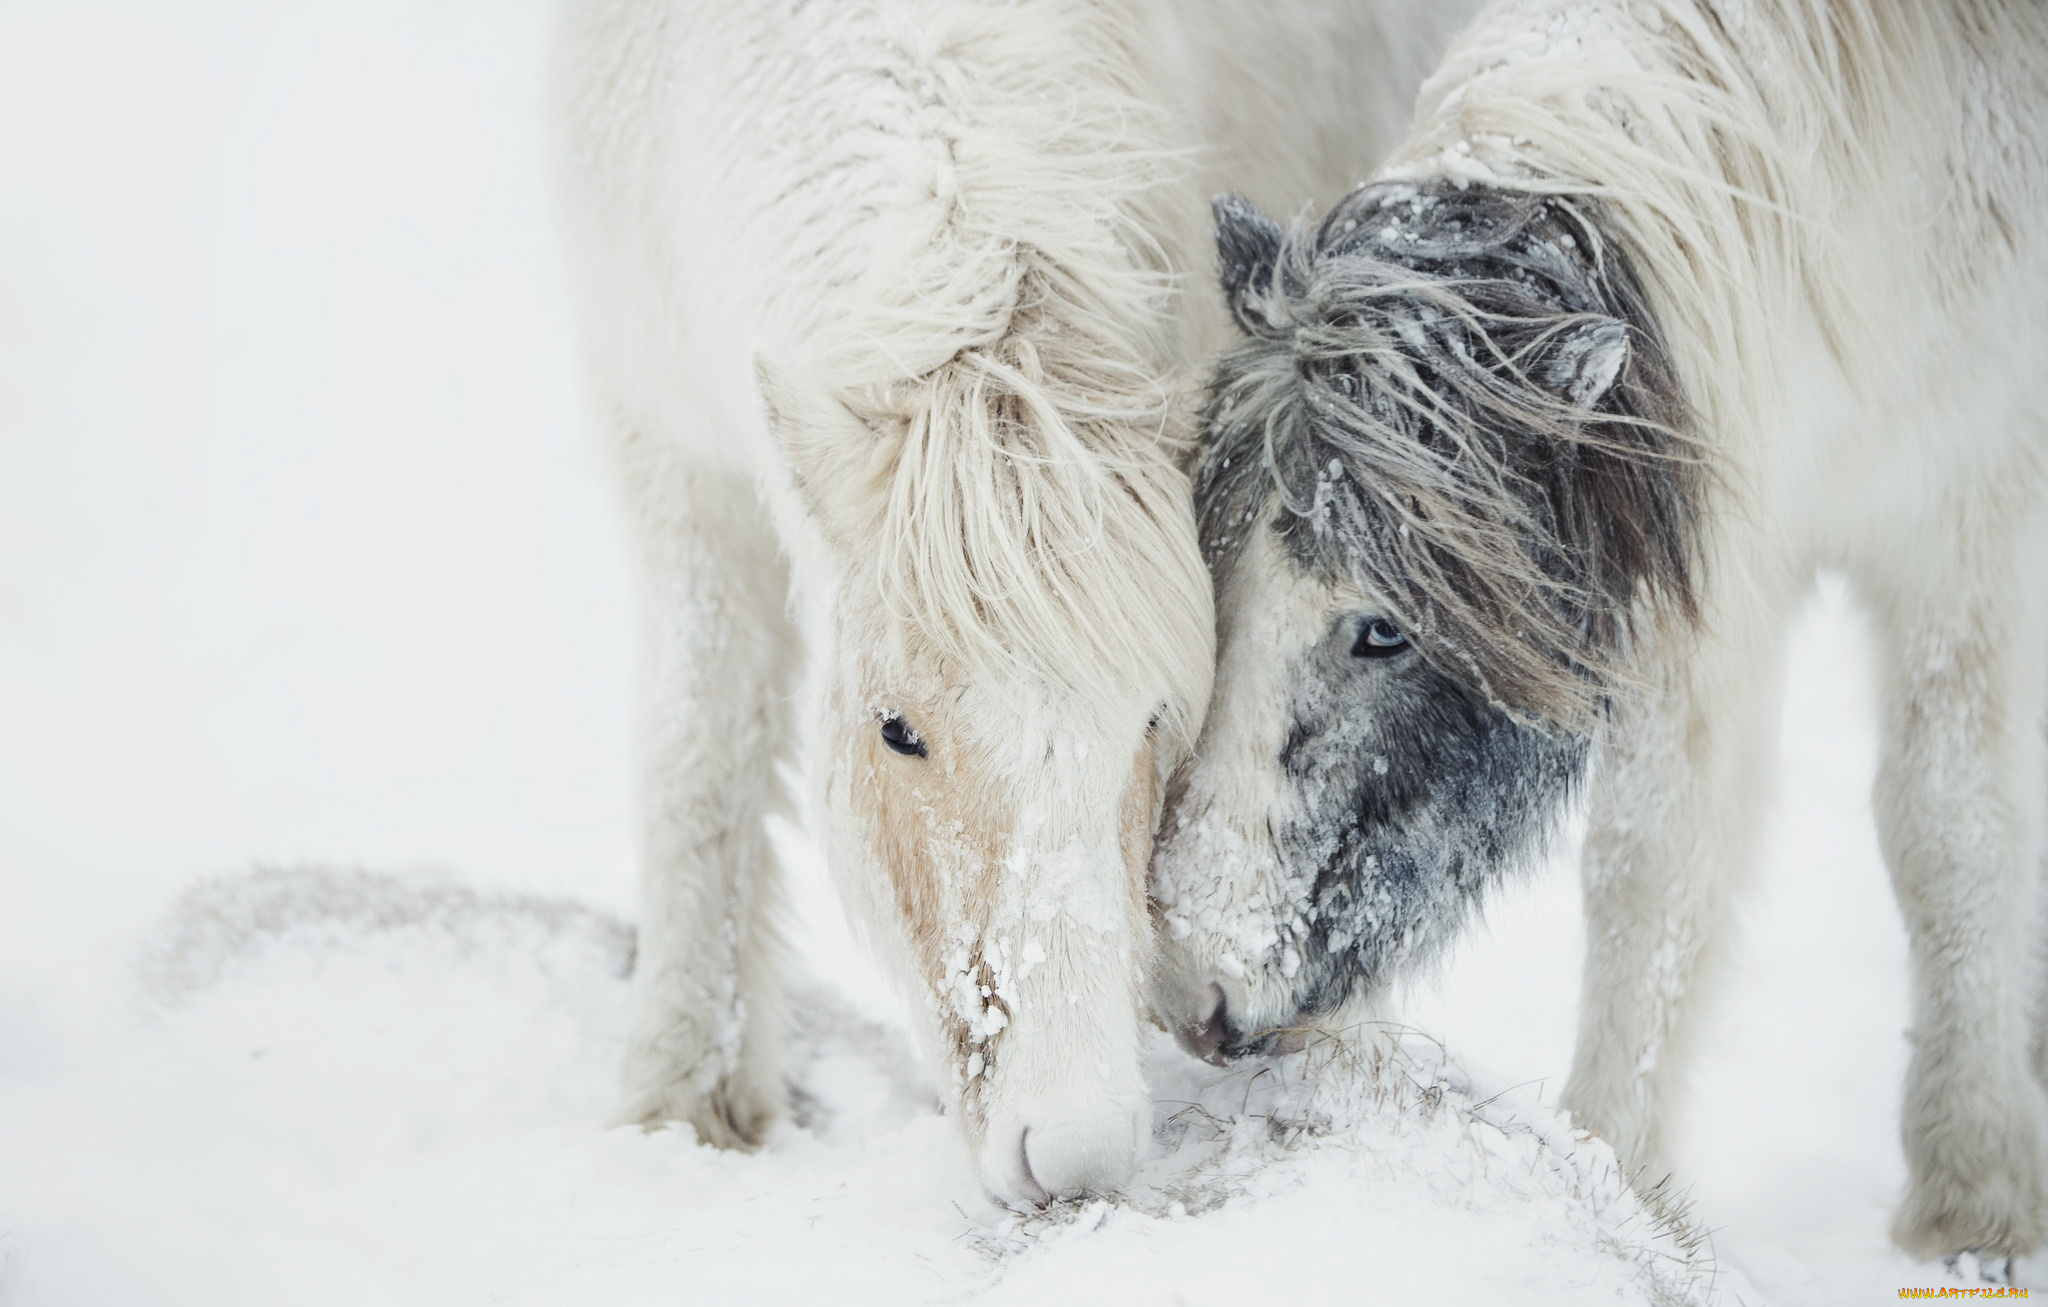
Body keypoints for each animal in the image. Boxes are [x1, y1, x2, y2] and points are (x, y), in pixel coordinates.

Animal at [552, 0, 1466, 1212]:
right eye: (896, 730)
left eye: (1152, 720)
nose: (1073, 1155)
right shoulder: (672, 453)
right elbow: (698, 759)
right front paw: (682, 1100)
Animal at [1155, 0, 2048, 1261]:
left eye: (1380, 631)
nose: (1186, 990)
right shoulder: (1693, 588)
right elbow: (1655, 867)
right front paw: (1613, 1175)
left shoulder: (1969, 518)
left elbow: (1949, 824)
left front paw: (1971, 1187)